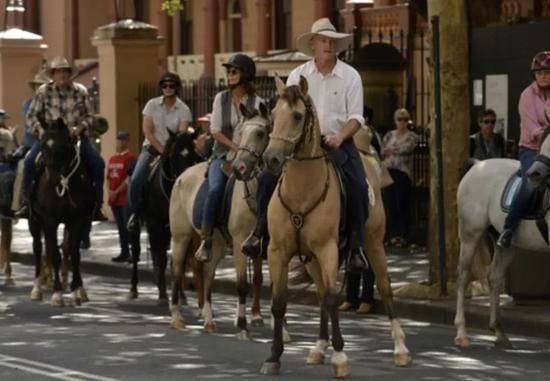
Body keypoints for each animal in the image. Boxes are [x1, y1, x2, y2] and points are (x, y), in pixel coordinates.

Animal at [260, 77, 412, 378]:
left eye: (297, 115)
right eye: (272, 114)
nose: (271, 159)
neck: (302, 190)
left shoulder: (328, 249)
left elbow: (332, 298)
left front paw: (340, 357)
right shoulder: (278, 251)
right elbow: (279, 302)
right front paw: (273, 356)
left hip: (373, 244)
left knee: (385, 287)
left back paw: (400, 349)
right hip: (311, 260)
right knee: (320, 294)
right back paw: (319, 348)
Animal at [454, 134, 550, 348]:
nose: (535, 174)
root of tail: (478, 165)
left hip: (503, 242)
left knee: (494, 277)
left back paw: (499, 331)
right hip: (470, 234)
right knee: (463, 277)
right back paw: (461, 333)